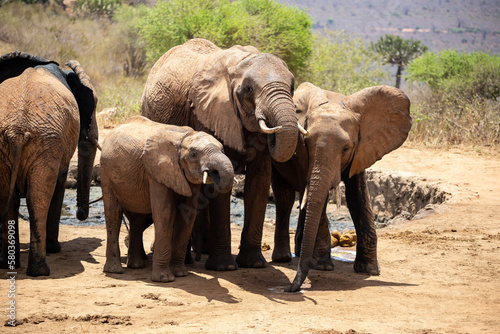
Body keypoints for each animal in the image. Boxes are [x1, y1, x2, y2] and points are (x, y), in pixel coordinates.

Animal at [0, 51, 98, 276]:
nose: (80, 214)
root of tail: (17, 130)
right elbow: (59, 184)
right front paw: (55, 249)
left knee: (11, 197)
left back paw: (9, 265)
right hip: (47, 142)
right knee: (39, 196)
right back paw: (40, 270)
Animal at [102, 116, 235, 284]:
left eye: (223, 150)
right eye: (193, 154)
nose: (214, 174)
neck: (183, 137)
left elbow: (187, 216)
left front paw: (181, 274)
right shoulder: (156, 172)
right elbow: (164, 215)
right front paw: (164, 279)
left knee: (136, 218)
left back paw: (136, 266)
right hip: (106, 174)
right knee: (113, 215)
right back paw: (115, 271)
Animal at [141, 37, 304, 270]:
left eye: (292, 87)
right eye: (248, 89)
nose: (273, 130)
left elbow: (259, 180)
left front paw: (253, 264)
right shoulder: (207, 113)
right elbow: (218, 179)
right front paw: (224, 267)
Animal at [272, 82, 412, 290]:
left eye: (346, 148)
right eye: (306, 144)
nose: (291, 289)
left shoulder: (362, 149)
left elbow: (357, 196)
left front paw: (369, 270)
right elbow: (317, 198)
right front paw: (323, 266)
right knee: (285, 196)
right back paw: (286, 258)